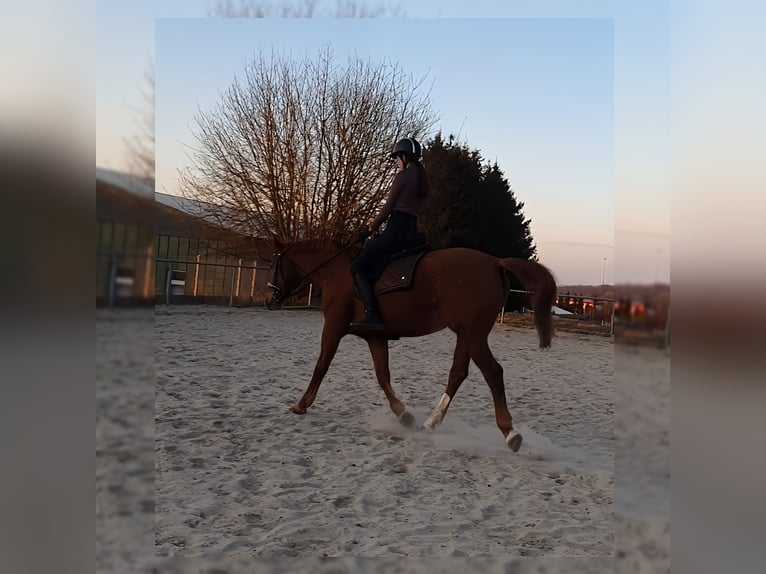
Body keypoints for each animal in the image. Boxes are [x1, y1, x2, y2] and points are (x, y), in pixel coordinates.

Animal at [266, 237, 557, 452]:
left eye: (274, 263)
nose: (270, 300)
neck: (336, 272)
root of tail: (495, 262)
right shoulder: (376, 337)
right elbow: (382, 375)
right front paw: (404, 415)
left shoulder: (334, 327)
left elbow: (321, 366)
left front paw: (301, 404)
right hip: (467, 335)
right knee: (458, 374)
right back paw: (430, 423)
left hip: (473, 336)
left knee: (493, 372)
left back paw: (510, 433)